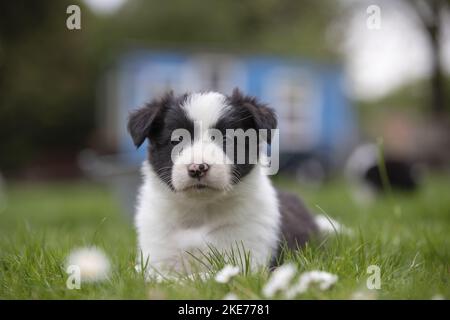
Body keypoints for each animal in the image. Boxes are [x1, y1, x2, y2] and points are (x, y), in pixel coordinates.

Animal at [126, 88, 316, 278]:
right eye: (177, 139)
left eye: (226, 139)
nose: (197, 168)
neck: (199, 212)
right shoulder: (158, 258)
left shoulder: (245, 258)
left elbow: (199, 278)